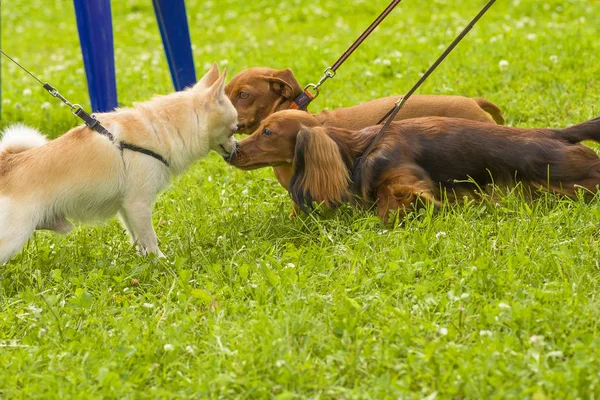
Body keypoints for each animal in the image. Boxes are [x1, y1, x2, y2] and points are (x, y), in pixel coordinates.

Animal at [0, 63, 239, 262]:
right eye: (234, 129)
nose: (237, 146)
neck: (160, 129)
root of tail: (7, 163)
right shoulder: (139, 204)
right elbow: (150, 237)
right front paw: (161, 261)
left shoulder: (127, 207)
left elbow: (138, 237)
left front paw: (144, 260)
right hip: (15, 235)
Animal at [227, 110, 600, 222]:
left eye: (268, 132)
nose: (230, 153)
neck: (357, 151)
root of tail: (557, 134)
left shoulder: (402, 175)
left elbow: (392, 198)